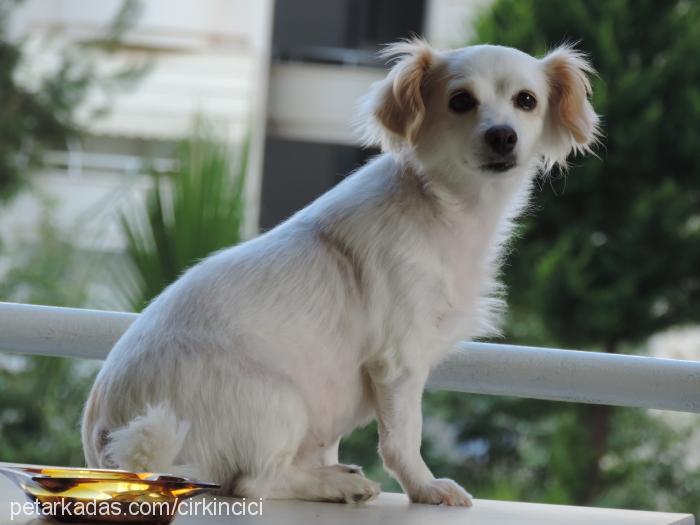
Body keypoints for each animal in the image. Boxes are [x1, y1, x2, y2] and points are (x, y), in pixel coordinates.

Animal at [80, 39, 596, 506]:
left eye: (526, 101)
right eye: (461, 101)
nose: (502, 135)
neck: (443, 206)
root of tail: (108, 442)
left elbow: (337, 444)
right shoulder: (399, 363)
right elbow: (403, 439)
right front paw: (426, 488)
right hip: (281, 403)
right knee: (252, 483)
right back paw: (335, 486)